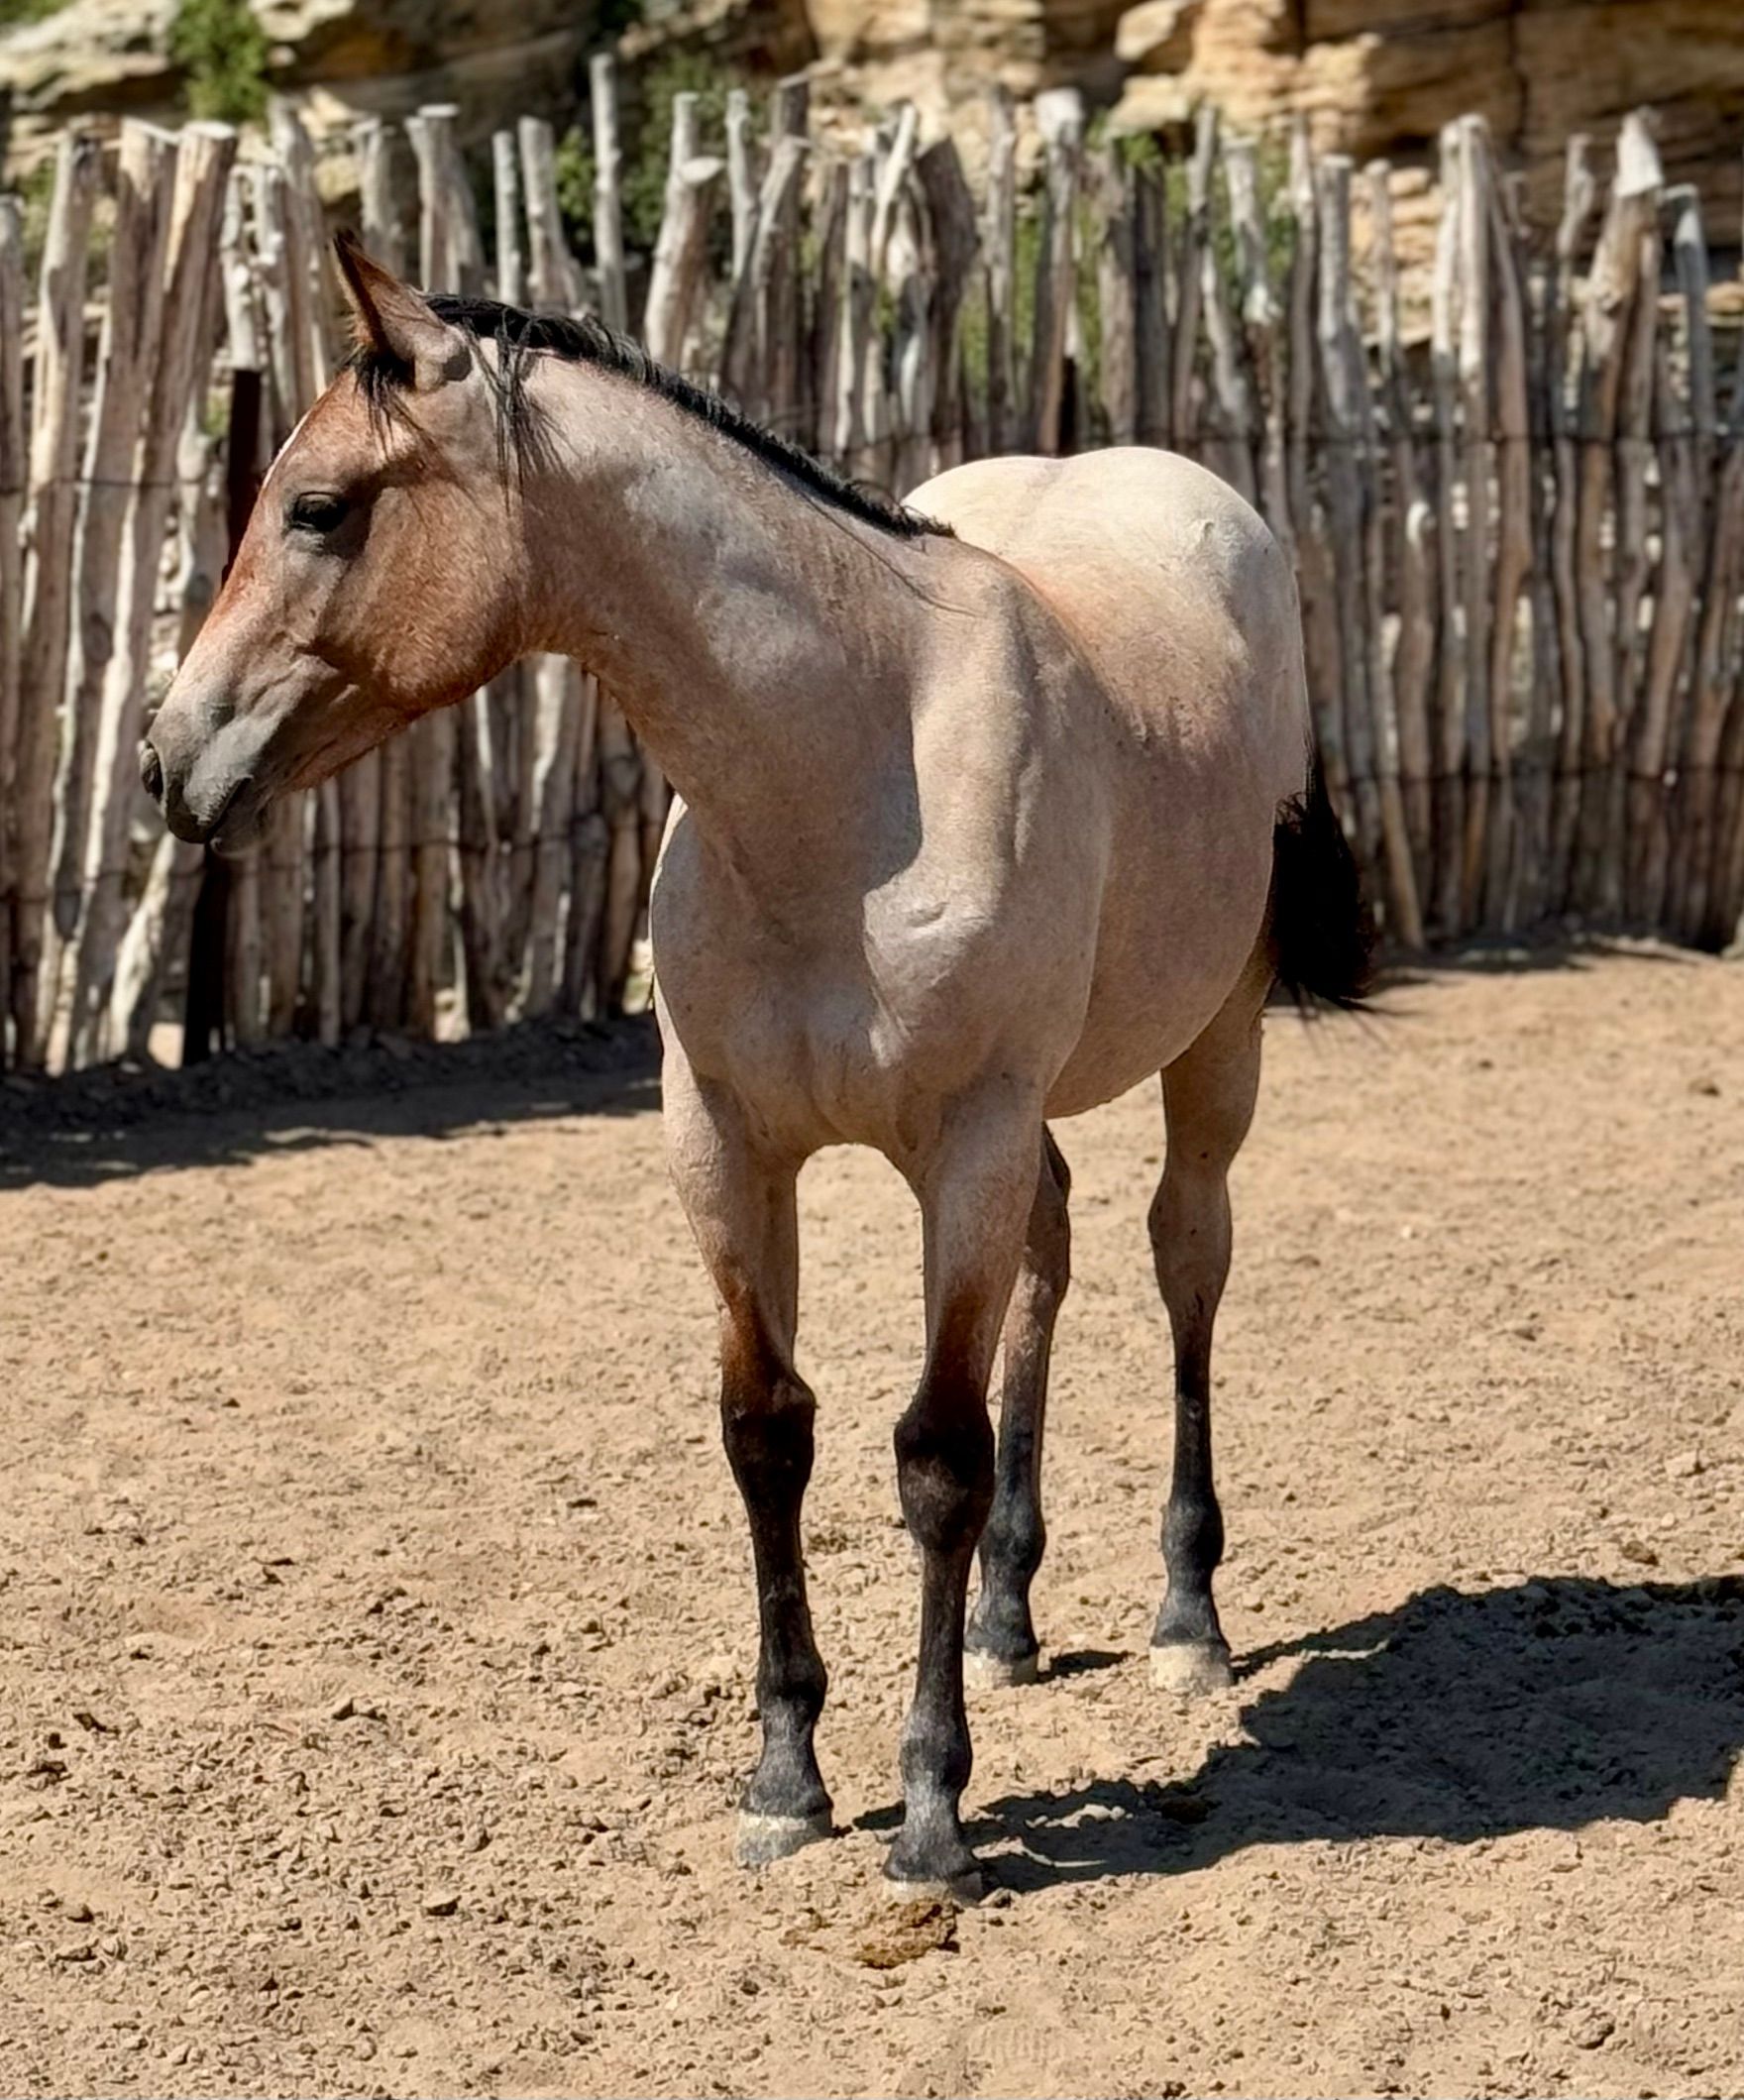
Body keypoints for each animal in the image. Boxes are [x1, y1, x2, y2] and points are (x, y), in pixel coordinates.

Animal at [143, 235, 1370, 1897]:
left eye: (321, 507)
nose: (168, 758)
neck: (850, 779)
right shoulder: (726, 1145)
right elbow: (767, 1432)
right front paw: (787, 1776)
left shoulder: (963, 1141)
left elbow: (932, 1454)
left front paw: (930, 1811)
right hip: (1029, 1129)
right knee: (1051, 1262)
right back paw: (1008, 1614)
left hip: (1210, 1047)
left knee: (1186, 1261)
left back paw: (1188, 1615)